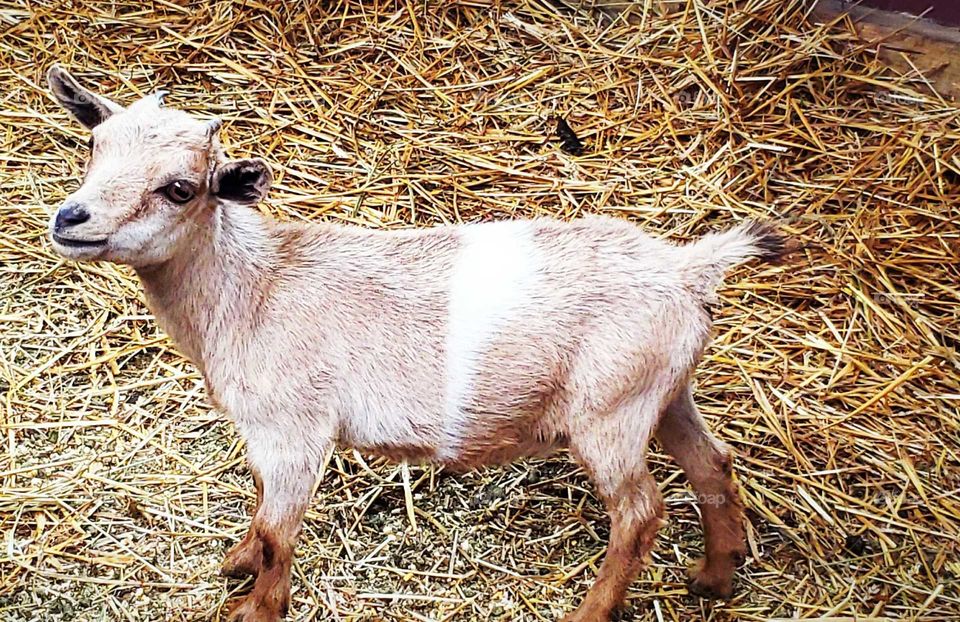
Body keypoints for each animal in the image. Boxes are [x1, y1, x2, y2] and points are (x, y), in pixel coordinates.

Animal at [45, 65, 787, 622]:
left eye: (179, 188)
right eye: (95, 145)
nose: (71, 219)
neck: (254, 288)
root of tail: (687, 268)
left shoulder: (294, 431)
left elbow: (282, 533)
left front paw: (254, 606)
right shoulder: (265, 435)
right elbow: (261, 510)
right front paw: (238, 562)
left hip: (610, 412)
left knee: (639, 513)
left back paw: (592, 611)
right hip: (663, 391)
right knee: (713, 465)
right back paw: (715, 577)